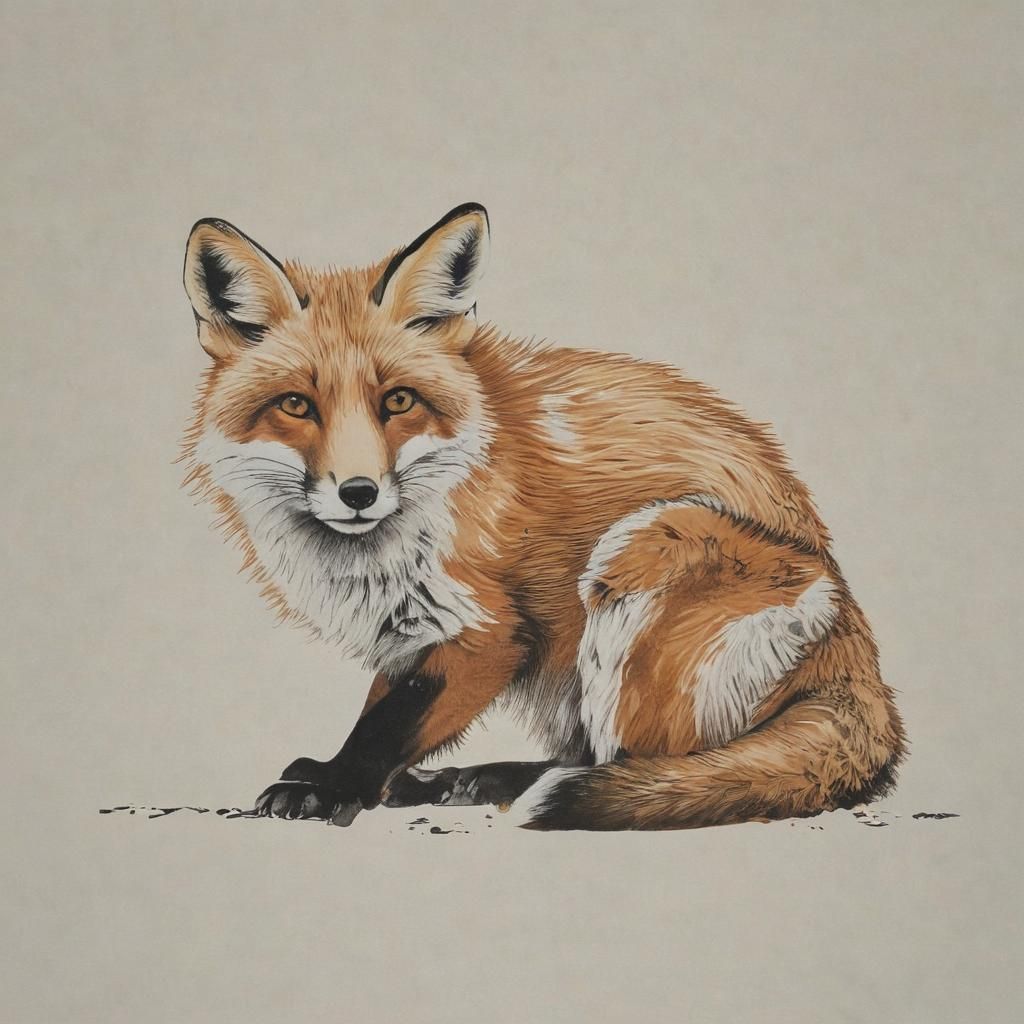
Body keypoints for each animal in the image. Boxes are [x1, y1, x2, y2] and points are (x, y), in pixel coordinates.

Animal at [180, 202, 905, 830]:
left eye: (399, 401)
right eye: (296, 405)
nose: (358, 493)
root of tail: (861, 662)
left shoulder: (489, 631)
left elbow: (390, 724)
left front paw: (336, 786)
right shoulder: (412, 628)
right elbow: (386, 704)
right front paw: (350, 776)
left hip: (644, 549)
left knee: (645, 766)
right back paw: (471, 780)